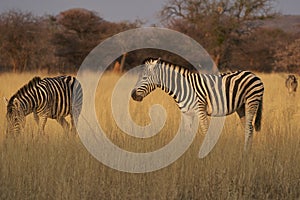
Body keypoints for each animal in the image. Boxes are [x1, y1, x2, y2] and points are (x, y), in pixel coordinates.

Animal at [132, 57, 264, 152]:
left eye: (144, 77)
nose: (133, 95)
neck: (182, 88)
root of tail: (253, 74)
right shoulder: (186, 113)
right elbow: (186, 134)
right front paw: (185, 155)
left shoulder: (200, 110)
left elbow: (205, 131)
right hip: (241, 107)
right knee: (248, 128)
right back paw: (247, 152)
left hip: (251, 101)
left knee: (249, 128)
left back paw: (245, 153)